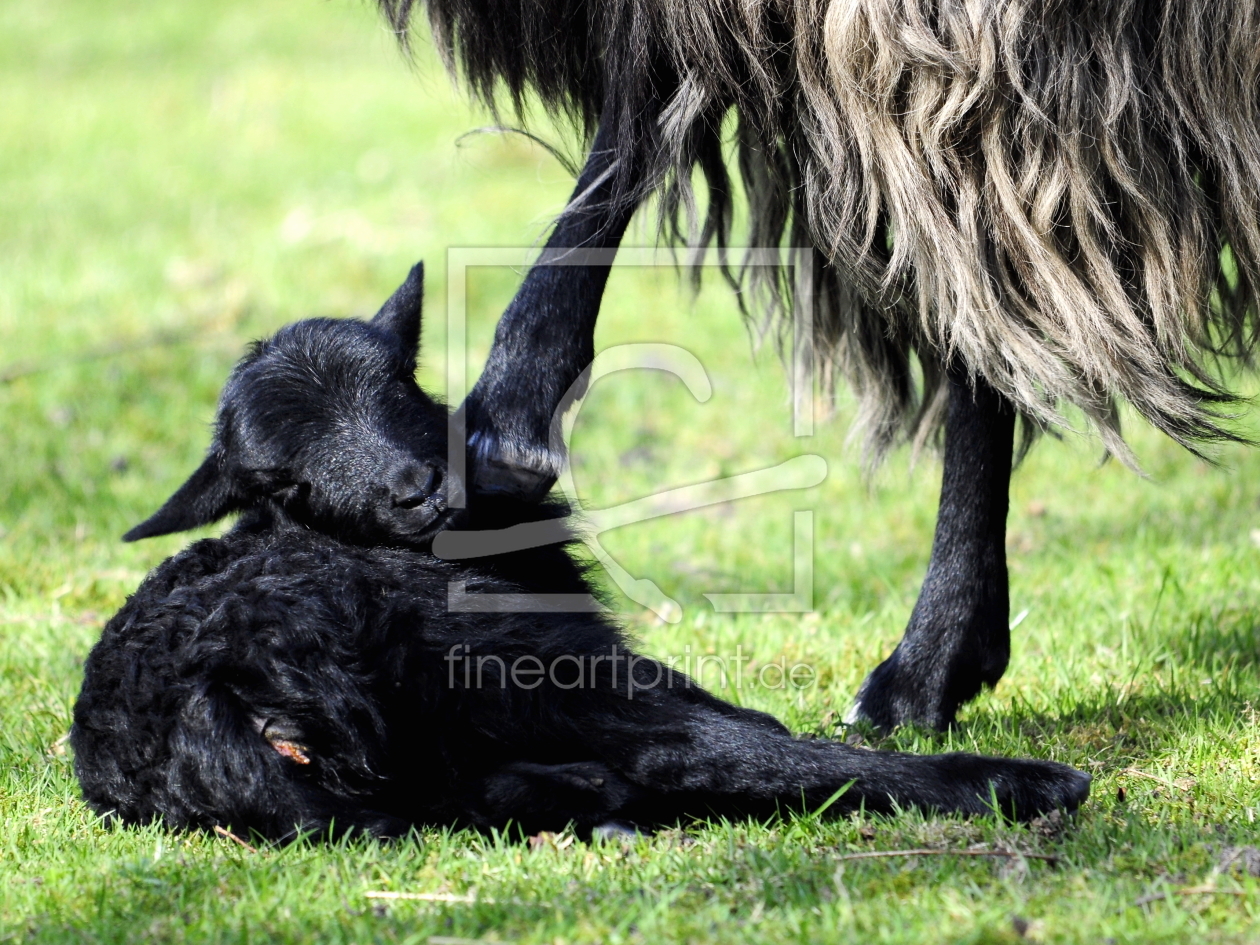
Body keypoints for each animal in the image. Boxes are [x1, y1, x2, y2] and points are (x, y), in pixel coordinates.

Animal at [71, 263, 1093, 841]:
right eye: (279, 481)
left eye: (398, 380)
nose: (415, 487)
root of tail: (199, 714)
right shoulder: (560, 653)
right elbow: (721, 725)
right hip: (500, 673)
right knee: (699, 758)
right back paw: (1024, 783)